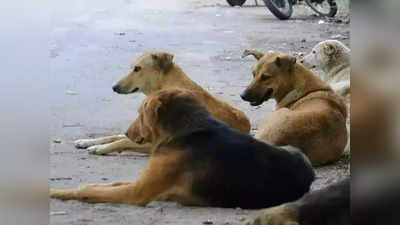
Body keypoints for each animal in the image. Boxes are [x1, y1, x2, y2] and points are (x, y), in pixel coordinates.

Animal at [51, 88, 316, 209]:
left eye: (140, 114)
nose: (127, 133)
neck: (186, 130)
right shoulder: (142, 183)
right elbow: (107, 185)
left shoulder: (137, 192)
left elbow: (88, 189)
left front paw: (56, 191)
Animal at [74, 51, 250, 156]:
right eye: (132, 67)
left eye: (137, 68)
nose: (114, 87)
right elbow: (116, 136)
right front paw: (87, 142)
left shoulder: (154, 142)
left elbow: (123, 140)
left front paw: (99, 148)